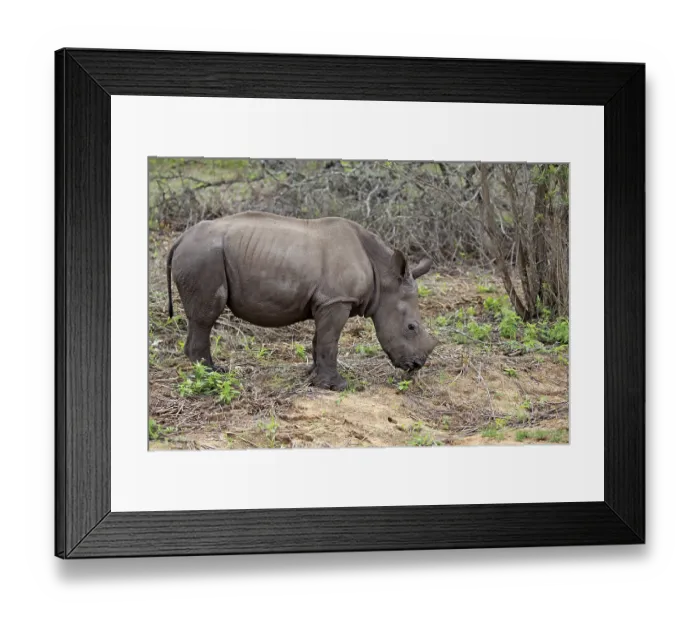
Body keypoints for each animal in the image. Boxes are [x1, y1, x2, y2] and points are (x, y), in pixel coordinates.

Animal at [167, 211, 438, 391]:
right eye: (411, 327)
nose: (417, 365)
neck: (384, 277)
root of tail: (180, 239)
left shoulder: (326, 302)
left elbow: (320, 338)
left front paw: (312, 376)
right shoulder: (337, 300)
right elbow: (330, 340)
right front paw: (337, 385)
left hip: (201, 255)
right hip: (203, 257)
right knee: (206, 315)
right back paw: (213, 375)